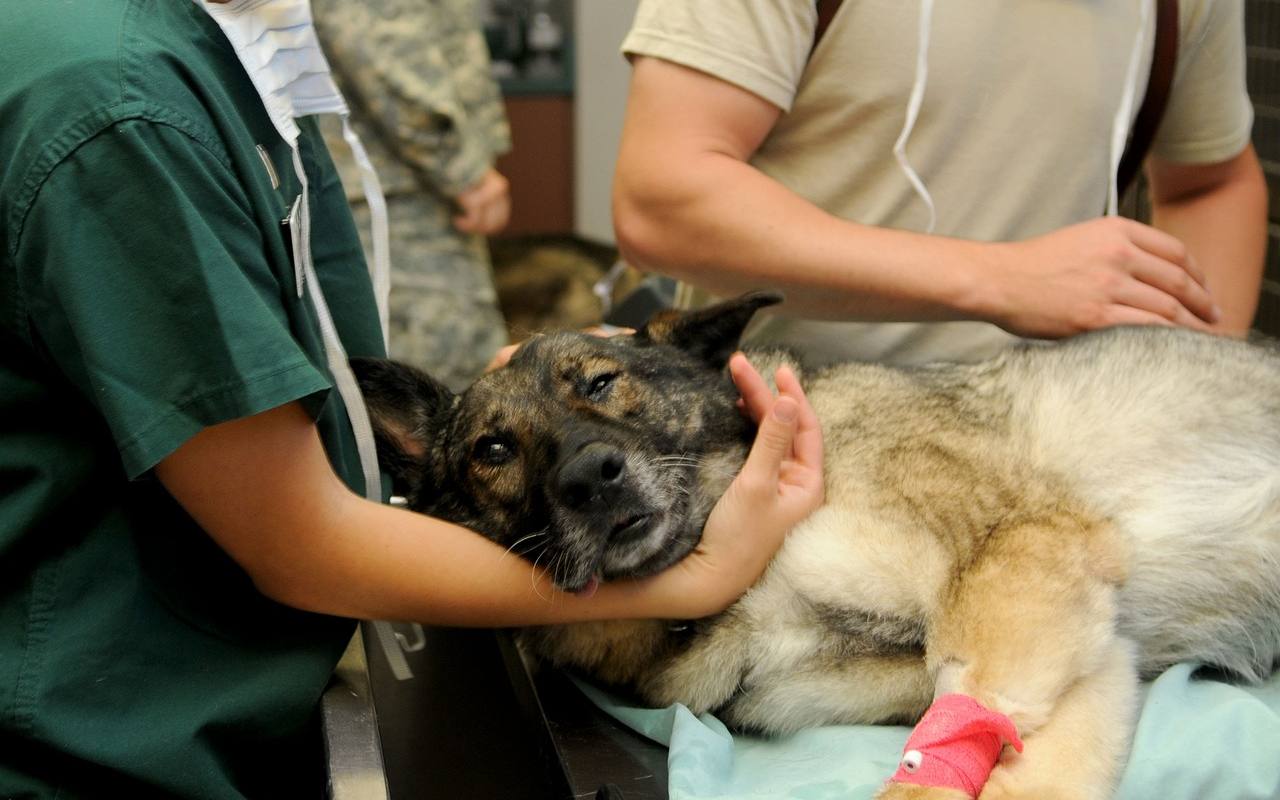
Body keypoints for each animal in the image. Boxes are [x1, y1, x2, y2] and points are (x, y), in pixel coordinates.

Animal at [355, 293, 1280, 798]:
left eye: (601, 381)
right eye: (494, 449)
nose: (592, 476)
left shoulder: (1022, 561)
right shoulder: (1082, 648)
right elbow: (1009, 754)